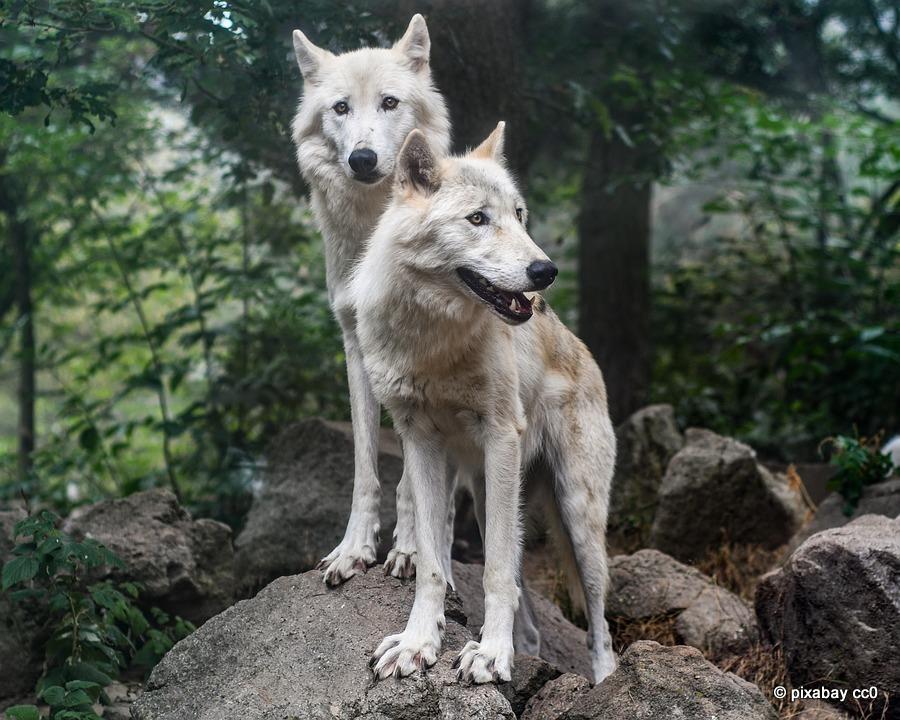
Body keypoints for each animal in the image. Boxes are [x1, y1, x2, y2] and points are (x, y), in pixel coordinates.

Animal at [292, 14, 450, 584]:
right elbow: (365, 465)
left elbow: (413, 478)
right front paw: (353, 549)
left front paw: (410, 550)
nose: (362, 159)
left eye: (388, 102)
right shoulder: (356, 347)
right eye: (341, 107)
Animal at [350, 125, 620, 688]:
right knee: (532, 618)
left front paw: (492, 655)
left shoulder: (500, 437)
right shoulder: (419, 442)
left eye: (519, 215)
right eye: (478, 218)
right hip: (487, 492)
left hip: (576, 516)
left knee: (599, 623)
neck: (434, 342)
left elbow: (495, 571)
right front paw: (418, 644)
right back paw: (527, 652)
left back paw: (604, 680)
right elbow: (432, 562)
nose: (545, 271)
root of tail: (584, 351)